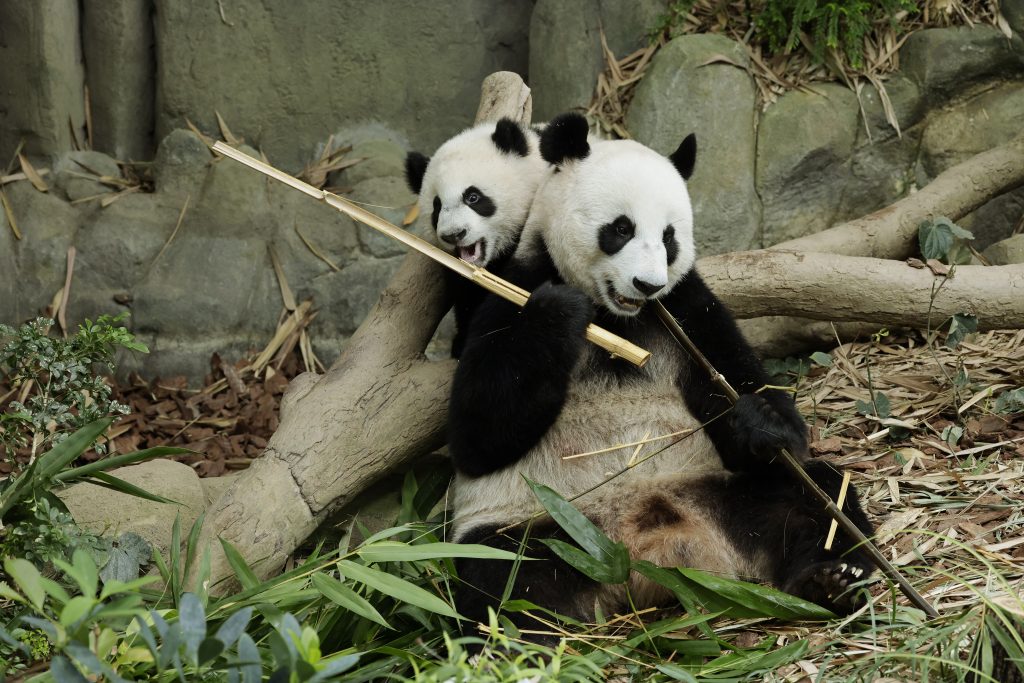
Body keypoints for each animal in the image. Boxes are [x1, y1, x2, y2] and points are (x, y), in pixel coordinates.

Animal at [448, 113, 875, 637]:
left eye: (670, 237)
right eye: (621, 228)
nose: (646, 284)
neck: (617, 317)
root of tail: (646, 556)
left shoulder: (688, 308)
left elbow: (747, 389)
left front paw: (760, 419)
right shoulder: (510, 287)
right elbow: (477, 433)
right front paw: (560, 310)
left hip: (724, 492)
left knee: (816, 496)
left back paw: (831, 581)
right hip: (539, 524)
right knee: (498, 577)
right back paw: (517, 636)